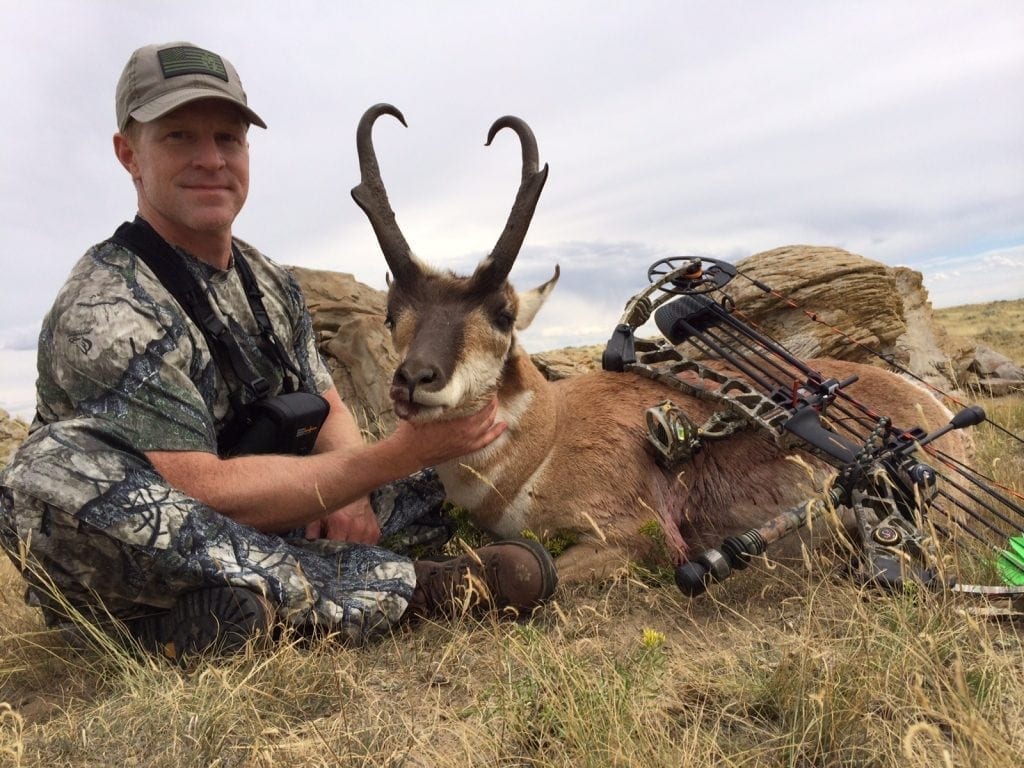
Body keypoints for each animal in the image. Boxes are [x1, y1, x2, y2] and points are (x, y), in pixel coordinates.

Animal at [352, 102, 966, 581]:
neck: (549, 434)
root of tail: (932, 404)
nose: (415, 379)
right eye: (391, 312)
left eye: (503, 313)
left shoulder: (627, 540)